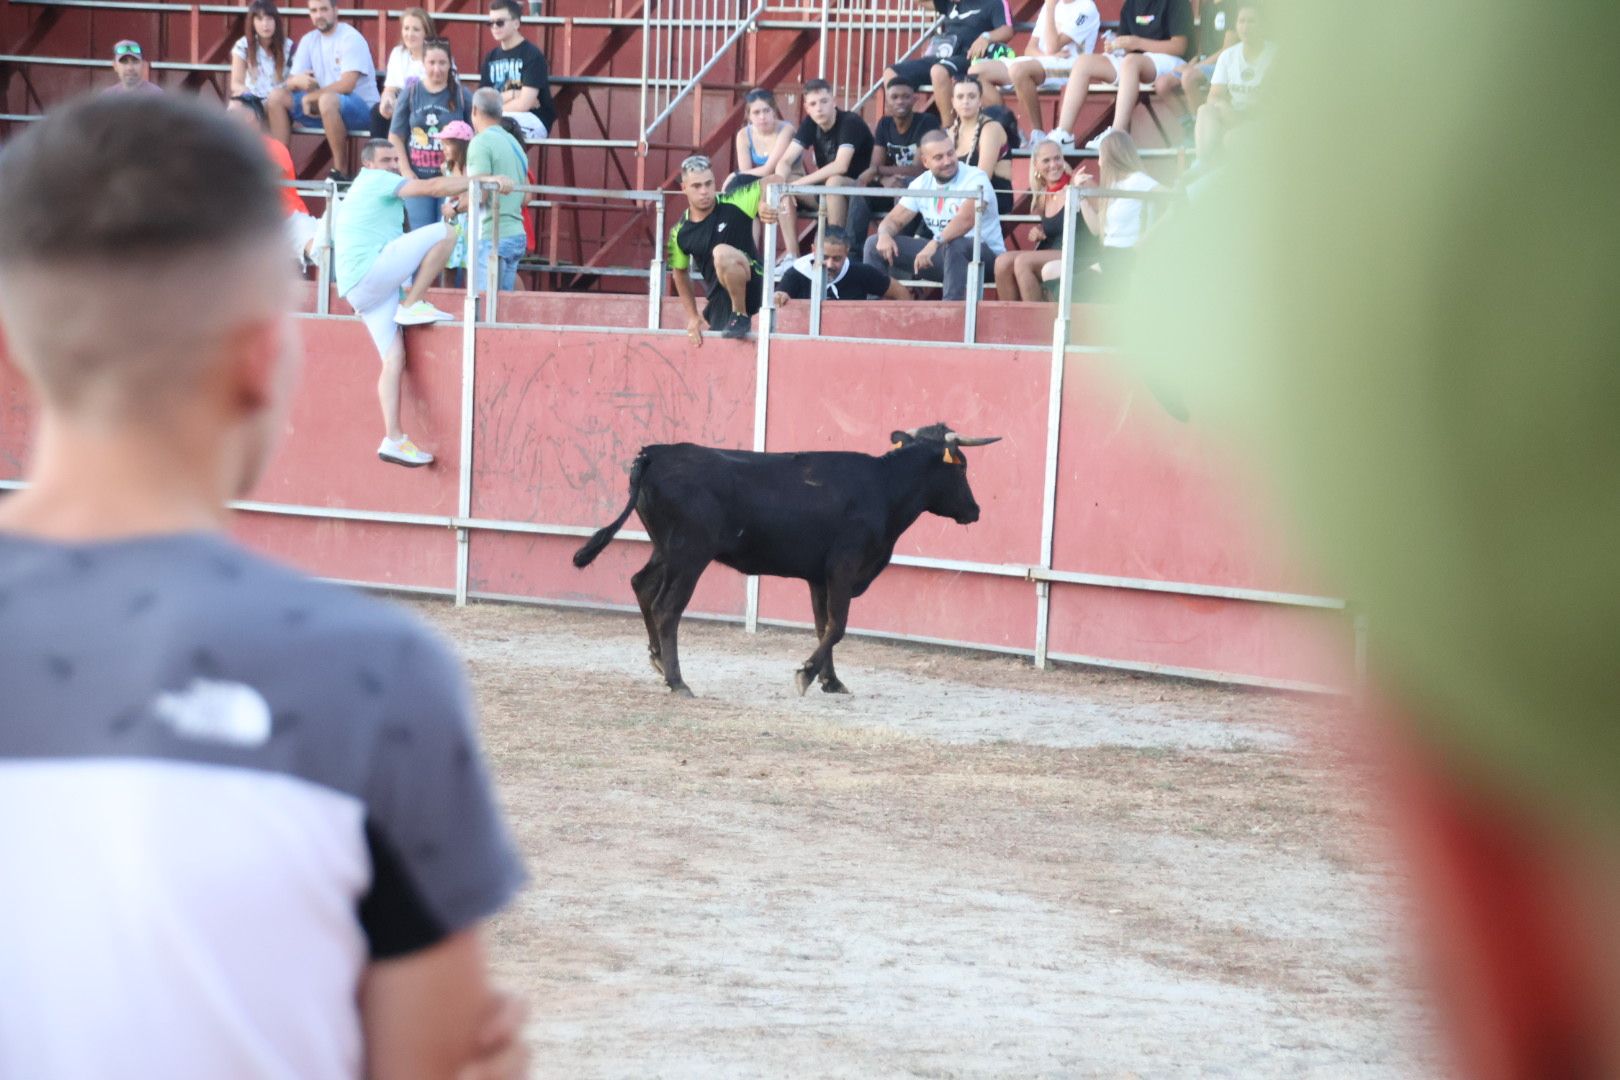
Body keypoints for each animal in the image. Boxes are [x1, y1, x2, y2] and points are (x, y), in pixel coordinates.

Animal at [570, 427, 997, 696]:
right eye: (961, 466)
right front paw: (806, 675)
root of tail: (654, 453)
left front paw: (831, 681)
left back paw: (659, 660)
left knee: (641, 585)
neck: (884, 488)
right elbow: (838, 626)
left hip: (665, 549)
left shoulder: (819, 577)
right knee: (666, 607)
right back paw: (678, 681)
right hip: (689, 554)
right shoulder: (843, 569)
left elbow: (823, 625)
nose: (975, 510)